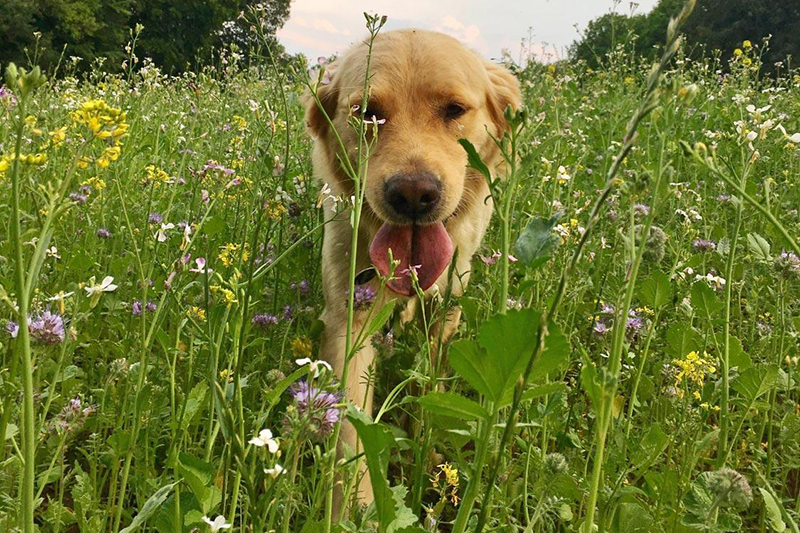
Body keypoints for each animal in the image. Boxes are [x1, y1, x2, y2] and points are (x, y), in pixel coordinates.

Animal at [304, 28, 520, 502]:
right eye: (367, 114)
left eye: (454, 110)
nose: (413, 195)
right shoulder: (349, 316)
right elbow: (351, 430)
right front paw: (358, 507)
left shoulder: (447, 305)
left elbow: (429, 383)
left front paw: (426, 452)